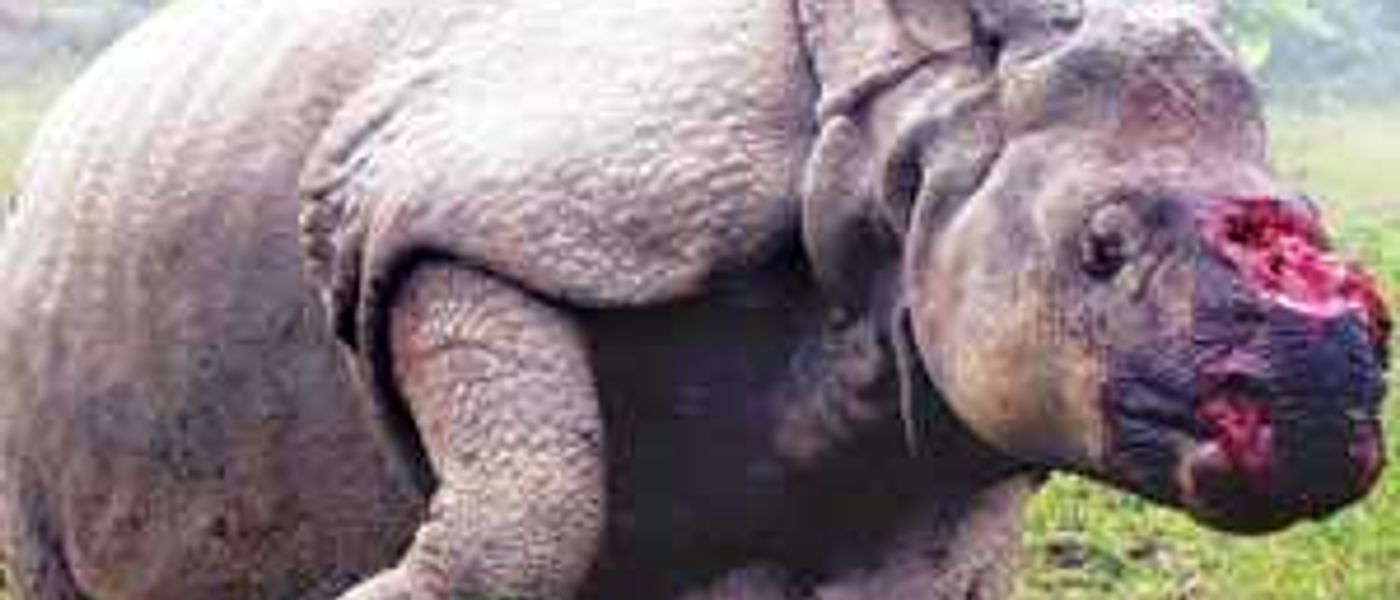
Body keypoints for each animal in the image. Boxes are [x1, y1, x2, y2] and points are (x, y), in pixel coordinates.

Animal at [0, 0, 1390, 598]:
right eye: (1100, 249)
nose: (1319, 405)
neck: (920, 121)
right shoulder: (450, 208)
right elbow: (527, 507)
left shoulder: (945, 392)